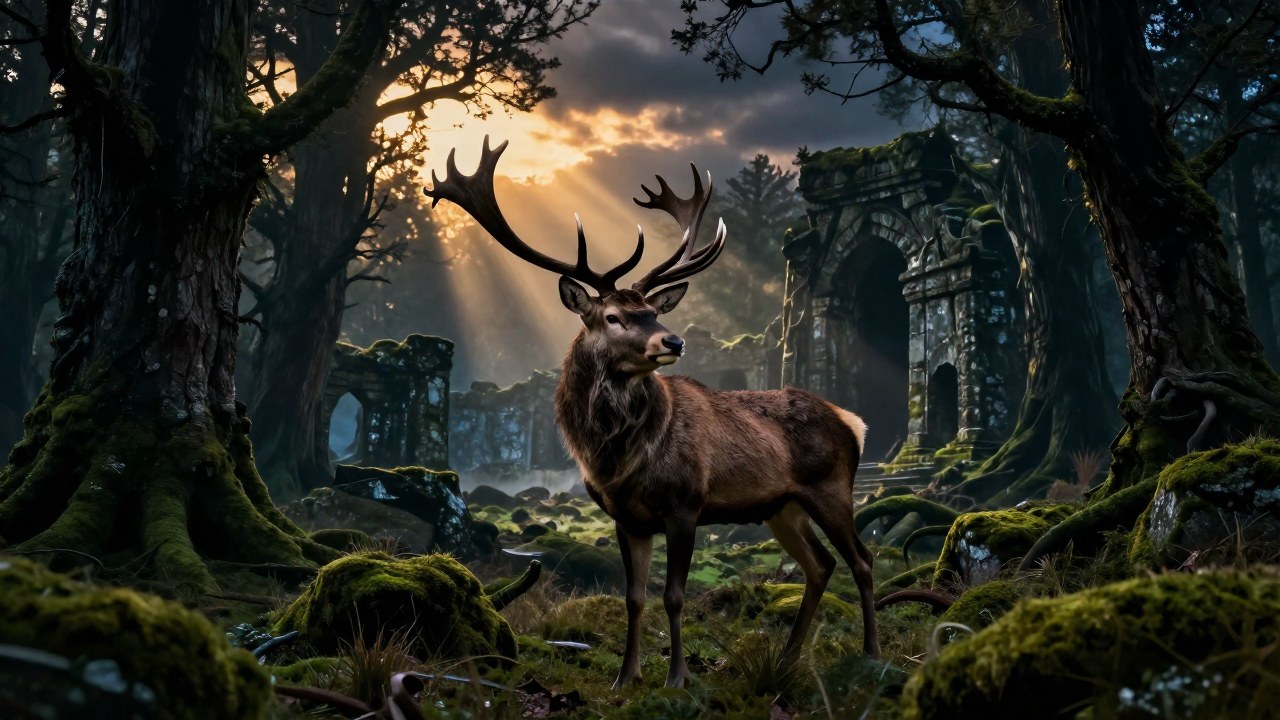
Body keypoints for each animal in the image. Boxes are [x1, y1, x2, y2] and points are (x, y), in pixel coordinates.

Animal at [424, 137, 880, 689]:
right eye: (613, 316)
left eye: (653, 311)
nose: (674, 340)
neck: (620, 458)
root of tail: (852, 422)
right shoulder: (627, 518)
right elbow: (634, 597)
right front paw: (627, 677)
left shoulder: (685, 504)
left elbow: (675, 596)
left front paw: (677, 676)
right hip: (782, 507)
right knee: (820, 566)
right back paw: (789, 658)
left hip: (831, 489)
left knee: (863, 560)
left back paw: (871, 653)